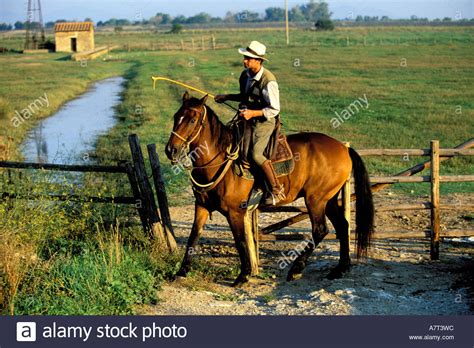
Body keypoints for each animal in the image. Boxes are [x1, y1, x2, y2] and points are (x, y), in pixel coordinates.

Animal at [165, 92, 372, 286]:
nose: (170, 150)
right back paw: (340, 268)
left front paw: (244, 275)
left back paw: (297, 268)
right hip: (329, 200)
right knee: (342, 226)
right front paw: (181, 272)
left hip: (316, 200)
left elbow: (240, 241)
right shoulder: (201, 206)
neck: (220, 159)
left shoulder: (235, 212)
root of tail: (343, 148)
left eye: (192, 119)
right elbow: (193, 237)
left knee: (320, 230)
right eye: (176, 116)